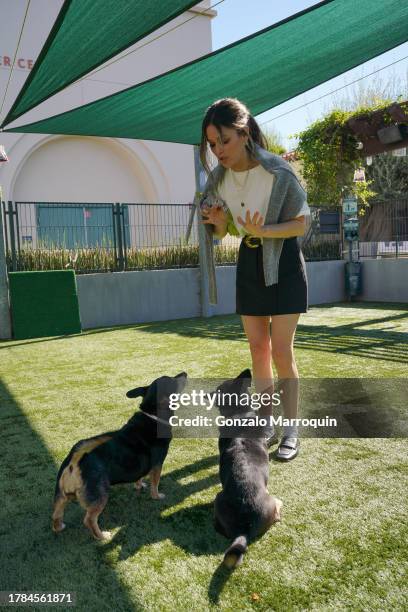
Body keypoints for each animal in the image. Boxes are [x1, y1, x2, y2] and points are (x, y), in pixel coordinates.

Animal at [51, 372, 186, 540]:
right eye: (173, 381)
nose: (184, 373)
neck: (152, 415)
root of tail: (74, 461)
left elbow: (139, 476)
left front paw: (139, 485)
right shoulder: (157, 464)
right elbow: (155, 483)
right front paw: (156, 496)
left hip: (60, 496)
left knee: (56, 515)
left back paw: (59, 527)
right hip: (100, 496)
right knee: (89, 519)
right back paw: (102, 536)